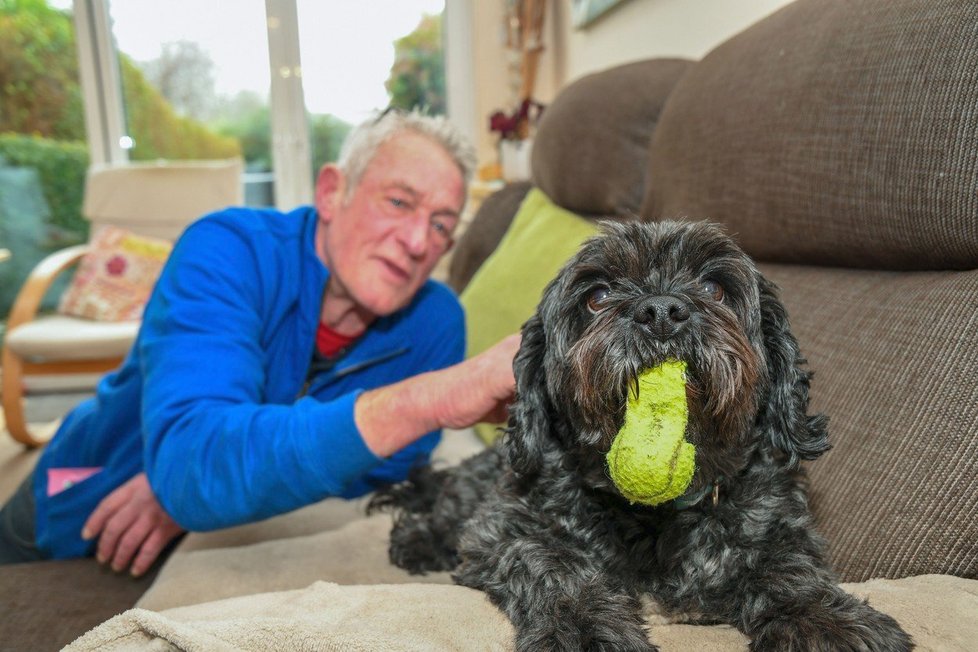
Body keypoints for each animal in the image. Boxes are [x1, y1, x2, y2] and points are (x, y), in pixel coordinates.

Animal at [370, 222, 912, 648]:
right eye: (597, 297)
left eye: (714, 289)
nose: (661, 311)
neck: (654, 517)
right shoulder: (506, 528)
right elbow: (553, 563)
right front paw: (587, 630)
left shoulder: (776, 524)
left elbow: (787, 566)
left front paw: (826, 620)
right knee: (439, 511)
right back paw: (417, 542)